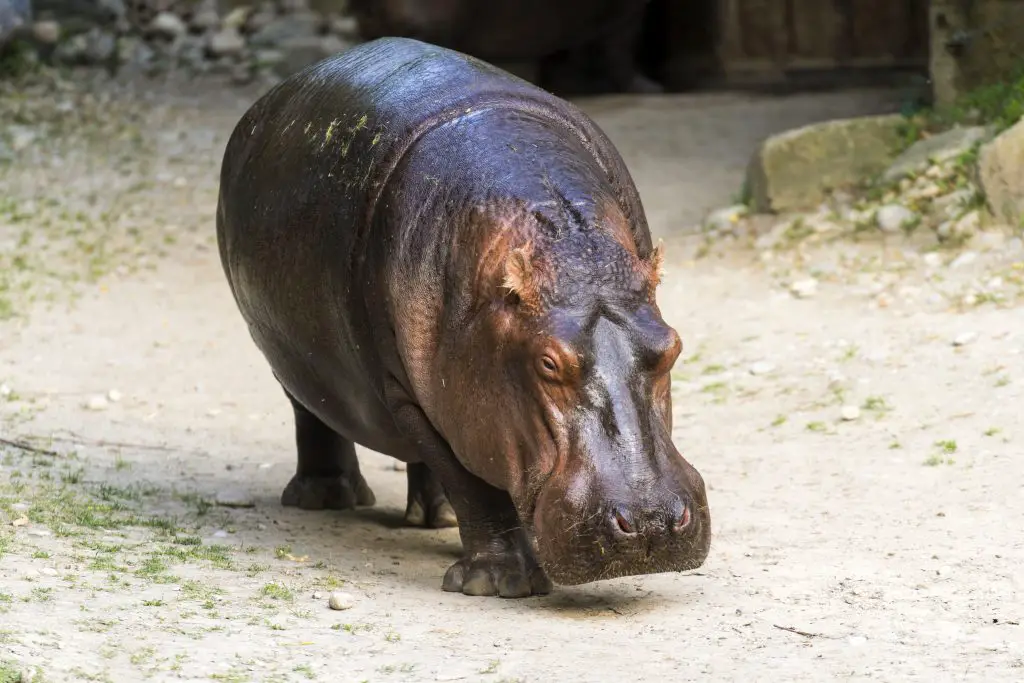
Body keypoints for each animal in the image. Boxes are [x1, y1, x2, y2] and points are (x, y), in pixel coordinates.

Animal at [216, 37, 712, 598]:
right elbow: (470, 482)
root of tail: (276, 94)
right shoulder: (405, 395)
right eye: (547, 364)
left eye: (672, 347)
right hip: (294, 365)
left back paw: (439, 519)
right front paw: (495, 583)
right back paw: (326, 499)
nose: (650, 521)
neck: (566, 247)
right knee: (313, 413)